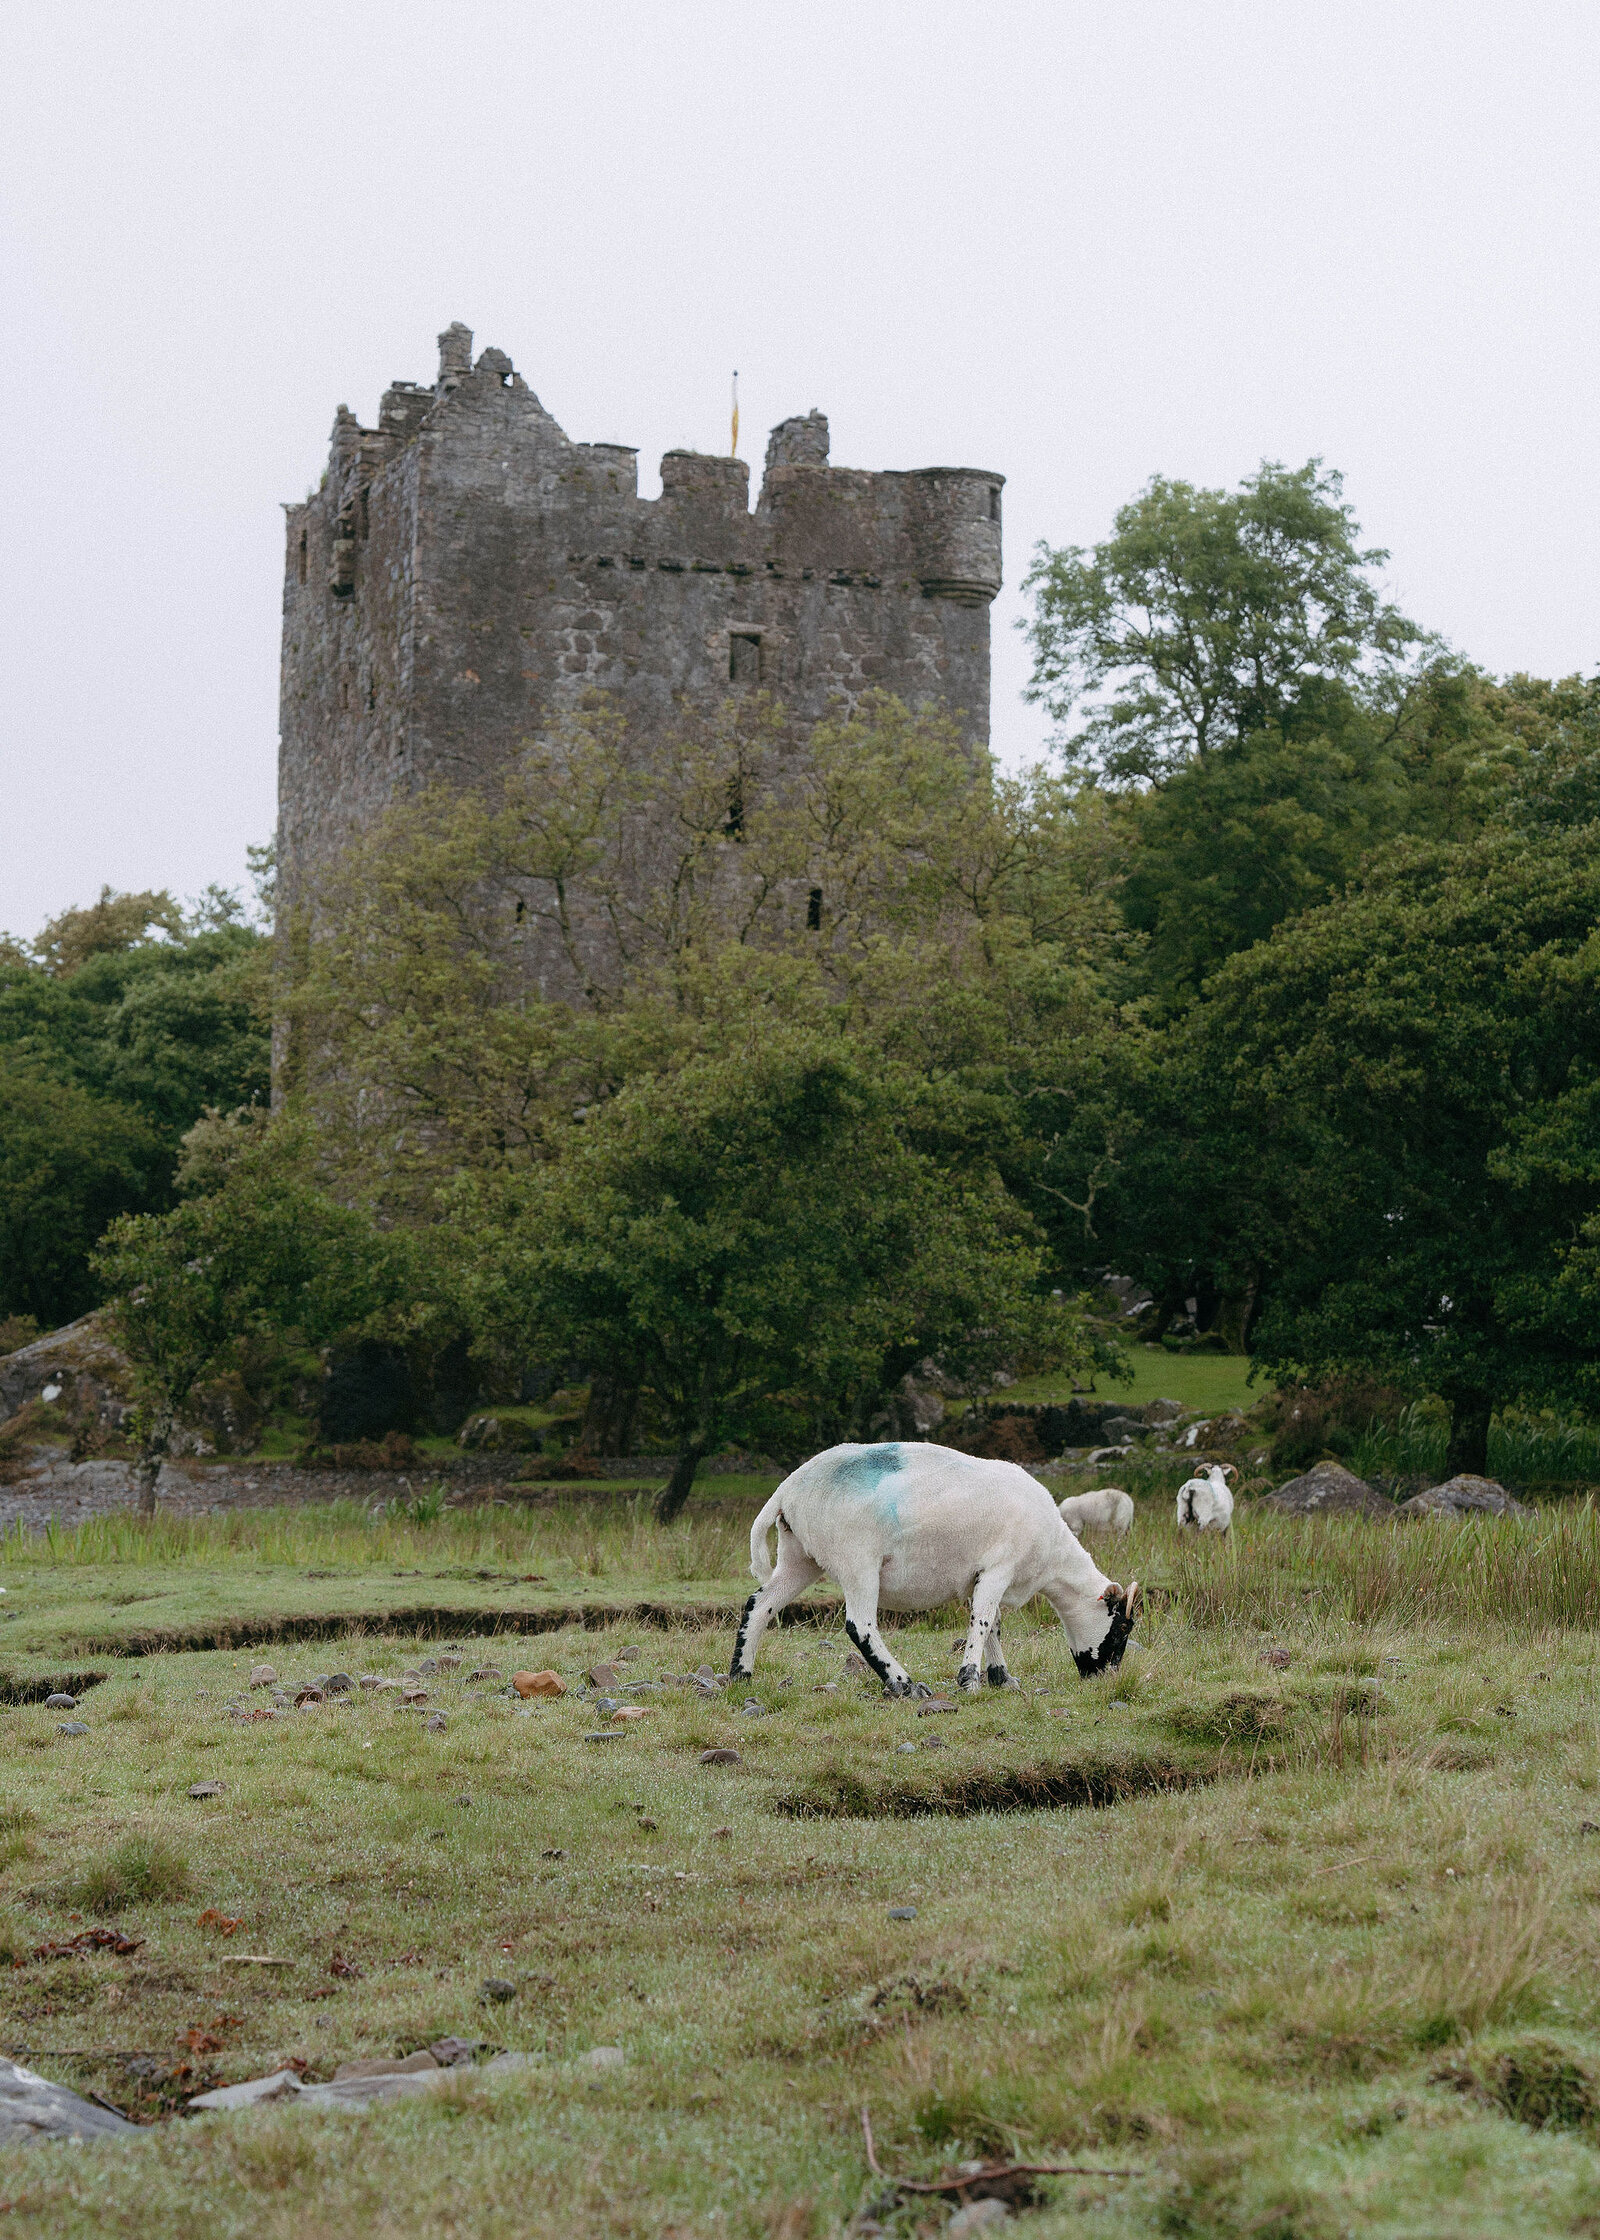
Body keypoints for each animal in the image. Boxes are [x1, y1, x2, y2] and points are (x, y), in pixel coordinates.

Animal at [732, 1441, 1139, 1695]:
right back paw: (905, 1685)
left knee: (760, 1605)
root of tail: (786, 1490)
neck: (1053, 1555)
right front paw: (970, 1681)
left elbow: (993, 1624)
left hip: (799, 1555)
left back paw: (740, 1674)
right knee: (859, 1625)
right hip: (856, 1560)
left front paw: (1001, 1678)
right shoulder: (999, 1567)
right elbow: (983, 1621)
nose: (1107, 1680)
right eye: (1122, 1628)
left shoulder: (981, 1576)